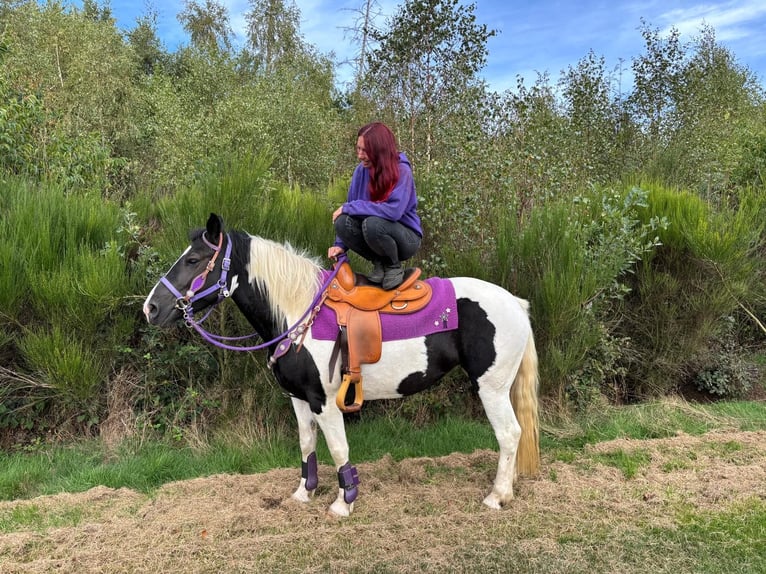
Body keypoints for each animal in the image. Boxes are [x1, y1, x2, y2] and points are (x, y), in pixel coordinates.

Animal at [143, 213, 540, 517]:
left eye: (193, 260)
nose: (151, 308)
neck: (297, 312)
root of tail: (516, 303)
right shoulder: (299, 399)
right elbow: (307, 444)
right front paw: (303, 493)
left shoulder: (324, 401)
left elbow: (338, 449)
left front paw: (343, 503)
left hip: (491, 388)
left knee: (509, 434)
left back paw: (496, 497)